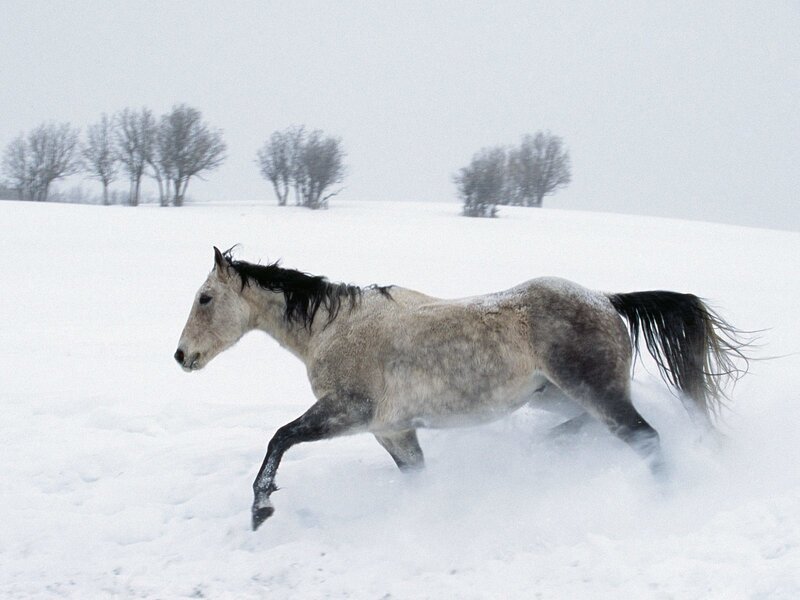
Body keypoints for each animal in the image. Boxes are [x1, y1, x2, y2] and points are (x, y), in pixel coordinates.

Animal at [174, 247, 749, 531]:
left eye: (205, 298)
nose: (181, 356)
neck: (334, 328)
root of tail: (607, 300)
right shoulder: (392, 430)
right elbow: (416, 477)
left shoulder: (349, 411)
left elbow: (280, 437)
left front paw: (260, 510)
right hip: (557, 395)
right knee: (591, 426)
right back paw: (547, 450)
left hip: (595, 391)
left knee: (646, 439)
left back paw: (664, 502)